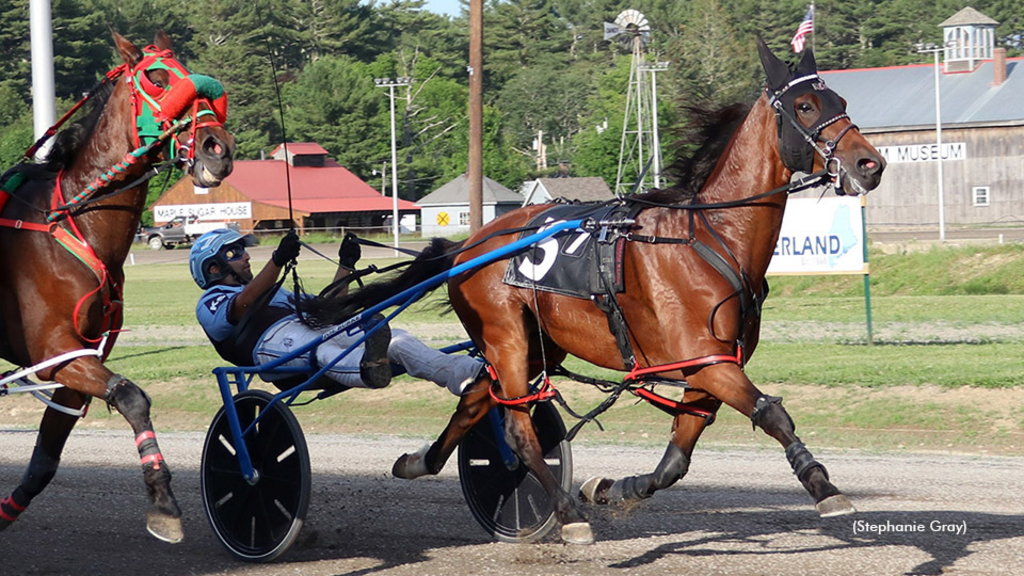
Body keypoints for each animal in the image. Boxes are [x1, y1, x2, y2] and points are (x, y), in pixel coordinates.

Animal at [0, 32, 233, 541]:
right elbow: (131, 396)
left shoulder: (77, 356)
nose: (218, 148)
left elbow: (45, 461)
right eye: (158, 78)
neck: (72, 220)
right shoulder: (53, 350)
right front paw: (163, 501)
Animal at [301, 39, 880, 541]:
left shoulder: (707, 364)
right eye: (805, 105)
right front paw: (824, 487)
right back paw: (566, 514)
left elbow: (675, 461)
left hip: (539, 343)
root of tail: (472, 244)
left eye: (843, 102)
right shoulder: (709, 361)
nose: (869, 164)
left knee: (474, 400)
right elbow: (772, 413)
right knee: (517, 427)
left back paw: (422, 461)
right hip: (506, 336)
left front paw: (611, 488)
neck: (708, 239)